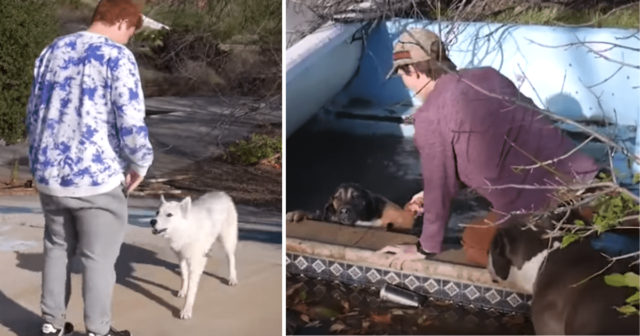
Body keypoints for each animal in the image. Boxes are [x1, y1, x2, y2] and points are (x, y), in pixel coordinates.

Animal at [151, 190, 240, 318]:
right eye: (157, 212)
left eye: (169, 215)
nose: (152, 221)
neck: (185, 231)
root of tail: (221, 194)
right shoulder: (181, 258)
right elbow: (184, 277)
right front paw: (183, 290)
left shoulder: (193, 262)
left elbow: (191, 290)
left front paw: (186, 310)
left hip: (227, 241)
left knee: (231, 258)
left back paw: (232, 278)